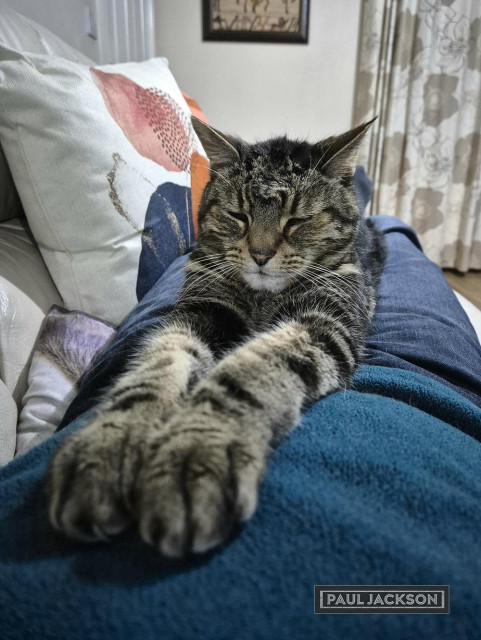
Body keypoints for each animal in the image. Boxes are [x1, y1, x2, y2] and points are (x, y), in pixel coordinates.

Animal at [47, 117, 386, 556]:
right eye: (238, 215)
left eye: (297, 220)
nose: (260, 255)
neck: (261, 298)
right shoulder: (202, 309)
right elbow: (160, 359)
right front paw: (109, 443)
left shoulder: (326, 322)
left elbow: (250, 372)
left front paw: (196, 451)